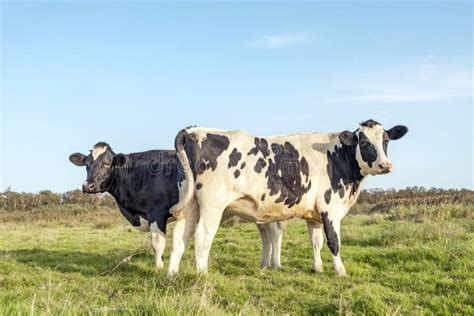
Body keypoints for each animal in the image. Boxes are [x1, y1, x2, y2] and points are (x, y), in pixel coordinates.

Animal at [69, 143, 286, 270]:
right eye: (86, 164)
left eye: (107, 163)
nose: (88, 186)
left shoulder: (157, 212)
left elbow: (158, 243)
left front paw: (158, 268)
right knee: (266, 234)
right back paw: (265, 264)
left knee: (274, 232)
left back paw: (275, 264)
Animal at [168, 119, 408, 276]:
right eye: (364, 142)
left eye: (386, 141)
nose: (385, 165)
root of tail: (194, 130)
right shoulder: (330, 208)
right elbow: (334, 241)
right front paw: (340, 271)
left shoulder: (314, 214)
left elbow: (316, 242)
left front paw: (317, 268)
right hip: (212, 204)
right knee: (202, 238)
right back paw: (202, 276)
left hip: (190, 204)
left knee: (179, 238)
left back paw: (172, 275)